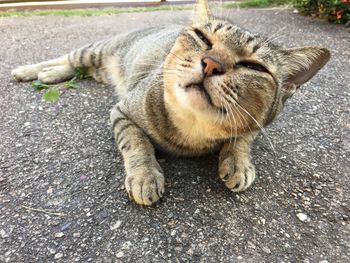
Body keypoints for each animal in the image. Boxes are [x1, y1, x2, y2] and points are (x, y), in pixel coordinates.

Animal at [10, 0, 328, 206]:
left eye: (254, 66)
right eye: (202, 38)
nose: (211, 63)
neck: (193, 128)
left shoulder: (256, 124)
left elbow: (243, 137)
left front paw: (238, 162)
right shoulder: (122, 111)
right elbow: (136, 142)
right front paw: (145, 175)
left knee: (77, 70)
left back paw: (49, 74)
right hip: (93, 51)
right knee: (66, 58)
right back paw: (31, 70)